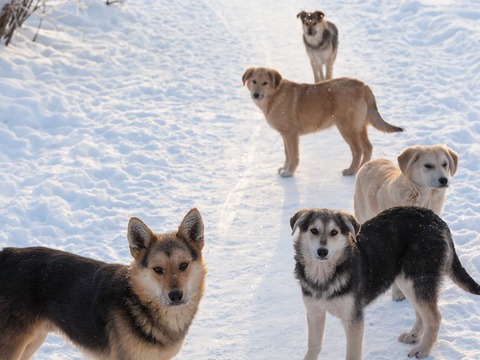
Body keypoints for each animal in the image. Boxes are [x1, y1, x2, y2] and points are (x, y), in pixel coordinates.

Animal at [0, 208, 204, 360]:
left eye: (183, 265)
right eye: (158, 269)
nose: (176, 295)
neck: (138, 302)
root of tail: (6, 255)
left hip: (32, 341)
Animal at [242, 67, 404, 177]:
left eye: (265, 83)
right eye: (254, 81)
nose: (256, 95)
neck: (275, 95)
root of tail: (363, 86)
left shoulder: (290, 134)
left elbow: (293, 155)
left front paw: (289, 172)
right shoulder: (285, 135)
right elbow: (287, 154)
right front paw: (285, 168)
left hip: (347, 128)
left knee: (357, 150)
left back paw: (351, 171)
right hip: (360, 127)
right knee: (368, 147)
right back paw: (361, 169)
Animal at [290, 207, 478, 358]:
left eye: (334, 232)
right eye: (314, 230)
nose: (322, 251)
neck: (323, 275)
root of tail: (434, 218)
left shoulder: (354, 320)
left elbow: (352, 354)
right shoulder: (314, 313)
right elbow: (313, 346)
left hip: (417, 280)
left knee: (434, 318)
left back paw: (423, 349)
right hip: (407, 282)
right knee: (422, 314)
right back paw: (414, 336)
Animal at [354, 142, 460, 300]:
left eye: (444, 164)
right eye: (428, 165)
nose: (444, 180)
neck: (424, 198)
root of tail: (371, 162)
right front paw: (397, 293)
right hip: (362, 213)